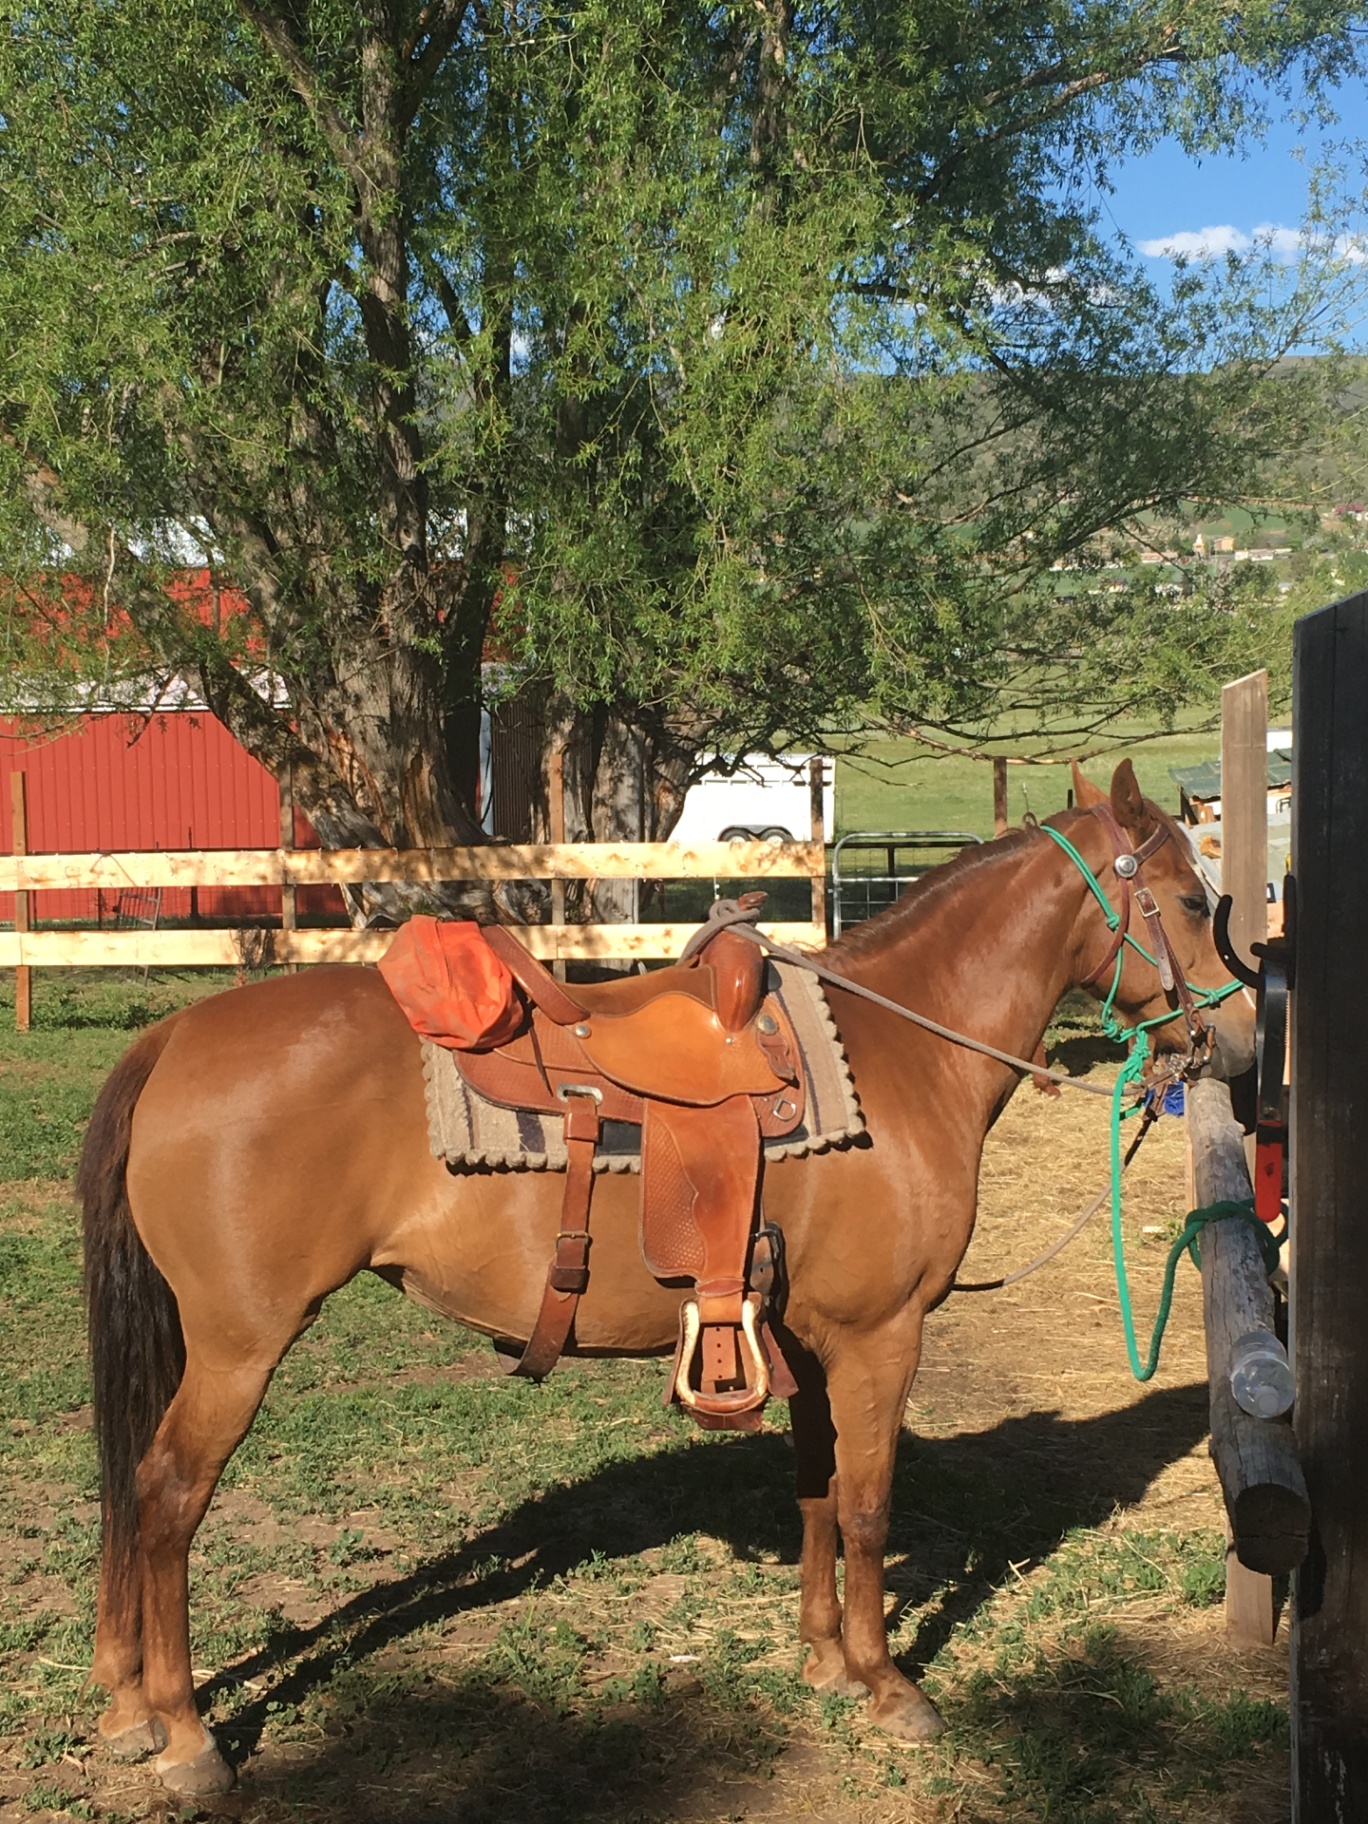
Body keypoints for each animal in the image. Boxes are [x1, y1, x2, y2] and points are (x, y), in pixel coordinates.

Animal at [77, 761, 1253, 1796]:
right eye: (1195, 900)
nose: (1241, 1038)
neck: (895, 1052)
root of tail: (174, 1035)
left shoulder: (810, 1342)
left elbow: (817, 1493)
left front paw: (825, 1662)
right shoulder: (883, 1335)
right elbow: (871, 1506)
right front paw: (888, 1685)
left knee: (134, 1493)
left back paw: (128, 1710)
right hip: (240, 1345)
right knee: (165, 1497)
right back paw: (186, 1737)